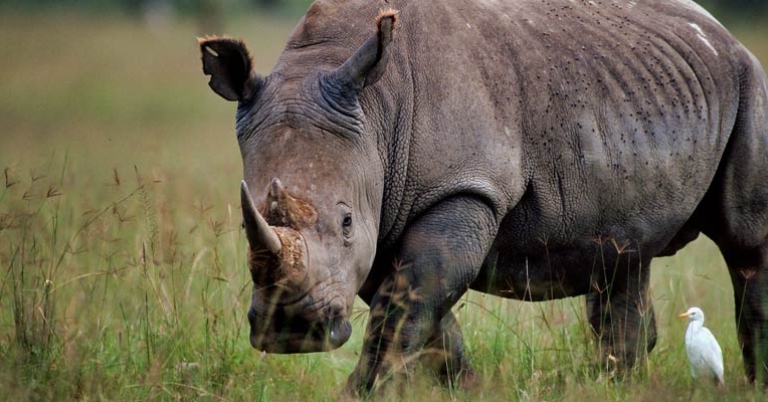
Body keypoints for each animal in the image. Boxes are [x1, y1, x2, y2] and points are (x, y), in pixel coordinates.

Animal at [199, 0, 768, 394]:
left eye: (345, 223)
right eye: (247, 222)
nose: (291, 330)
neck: (377, 107)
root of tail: (718, 30)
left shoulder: (464, 189)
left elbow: (409, 300)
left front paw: (358, 393)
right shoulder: (385, 213)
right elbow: (413, 309)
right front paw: (470, 388)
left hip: (748, 82)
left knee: (745, 243)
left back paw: (749, 382)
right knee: (626, 253)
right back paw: (616, 385)